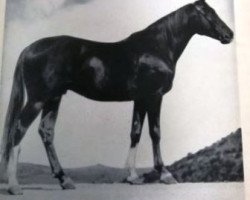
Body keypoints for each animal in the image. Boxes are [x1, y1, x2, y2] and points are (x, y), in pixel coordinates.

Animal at [0, 0, 233, 195]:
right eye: (208, 13)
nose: (229, 35)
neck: (156, 47)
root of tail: (29, 48)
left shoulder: (141, 99)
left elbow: (135, 133)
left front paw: (132, 177)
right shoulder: (154, 96)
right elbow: (155, 133)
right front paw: (165, 174)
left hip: (53, 98)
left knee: (46, 132)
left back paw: (64, 179)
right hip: (38, 99)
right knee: (18, 130)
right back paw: (14, 186)